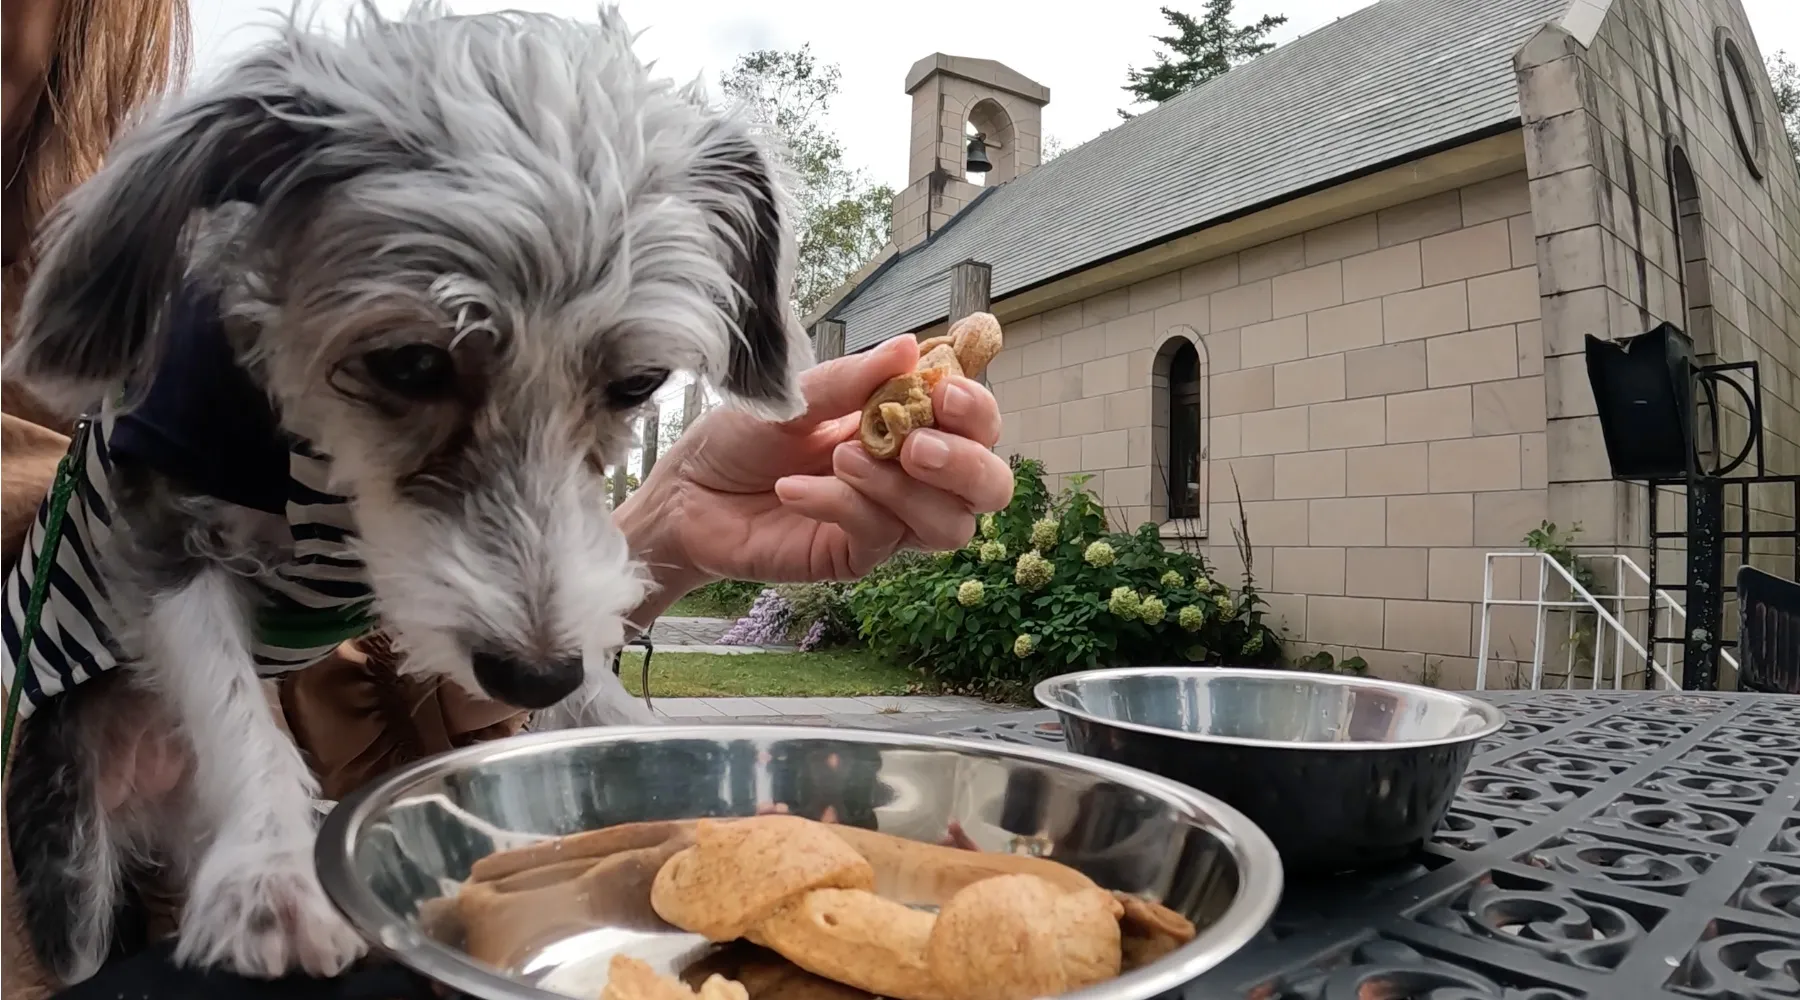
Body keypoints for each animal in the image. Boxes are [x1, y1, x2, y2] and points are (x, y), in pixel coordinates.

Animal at [0, 0, 806, 985]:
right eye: (411, 364)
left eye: (638, 382)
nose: (535, 672)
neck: (322, 479)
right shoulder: (162, 518)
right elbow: (229, 697)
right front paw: (272, 870)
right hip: (69, 862)